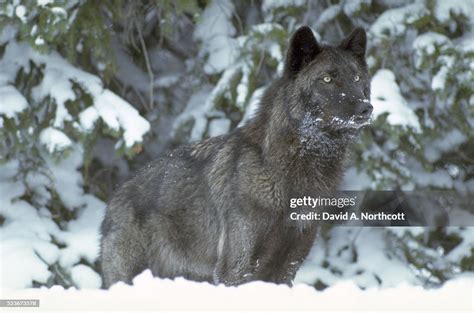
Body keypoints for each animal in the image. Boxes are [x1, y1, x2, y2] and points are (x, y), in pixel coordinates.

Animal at [101, 25, 374, 286]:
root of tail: (115, 197)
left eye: (357, 78)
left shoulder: (288, 265)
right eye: (327, 79)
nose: (367, 108)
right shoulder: (235, 268)